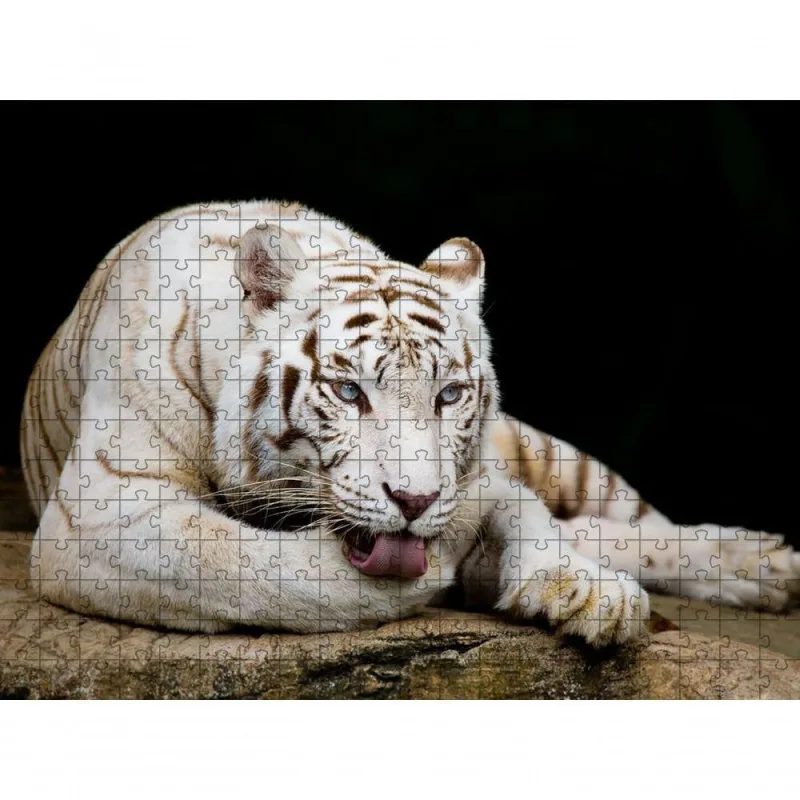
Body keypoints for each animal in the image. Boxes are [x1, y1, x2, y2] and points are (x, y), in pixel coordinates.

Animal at [19, 199, 800, 649]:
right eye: (348, 391)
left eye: (448, 395)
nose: (417, 501)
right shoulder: (103, 509)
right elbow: (252, 568)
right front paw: (446, 568)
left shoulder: (483, 470)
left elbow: (527, 516)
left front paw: (585, 590)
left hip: (550, 453)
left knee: (635, 524)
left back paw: (762, 567)